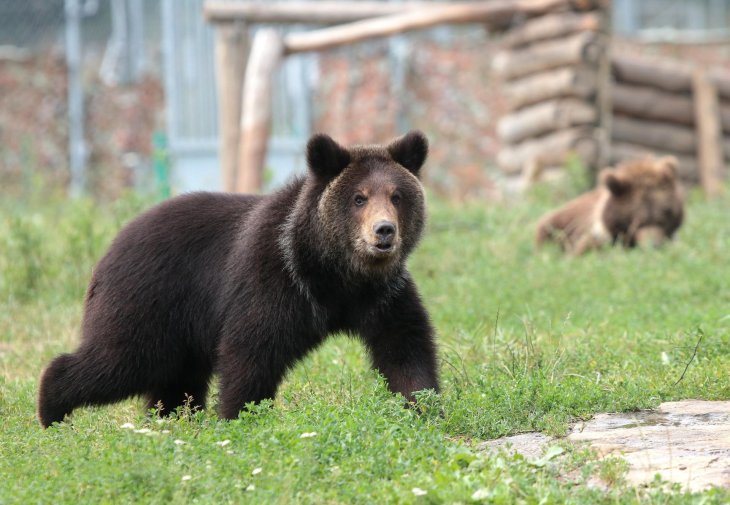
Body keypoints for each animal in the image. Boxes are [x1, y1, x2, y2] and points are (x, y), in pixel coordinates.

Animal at [37, 129, 438, 426]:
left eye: (397, 196)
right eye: (359, 197)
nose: (384, 231)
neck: (333, 273)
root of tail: (110, 247)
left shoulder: (383, 295)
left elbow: (406, 348)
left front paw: (425, 408)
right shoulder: (275, 281)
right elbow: (252, 353)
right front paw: (238, 417)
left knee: (175, 380)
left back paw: (172, 419)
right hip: (149, 300)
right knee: (121, 359)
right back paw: (52, 410)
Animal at [536, 156, 684, 254]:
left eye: (664, 215)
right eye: (636, 222)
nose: (654, 245)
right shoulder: (596, 231)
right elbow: (587, 247)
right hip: (562, 222)